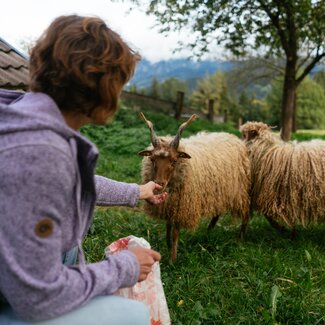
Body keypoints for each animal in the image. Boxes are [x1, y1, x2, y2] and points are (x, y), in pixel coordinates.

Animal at [138, 112, 249, 260]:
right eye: (152, 159)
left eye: (174, 161)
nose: (159, 184)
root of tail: (230, 135)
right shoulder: (171, 204)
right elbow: (168, 226)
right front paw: (167, 245)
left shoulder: (182, 206)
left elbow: (175, 233)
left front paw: (173, 258)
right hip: (220, 192)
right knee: (217, 211)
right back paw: (209, 230)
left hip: (239, 190)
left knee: (245, 212)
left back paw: (241, 238)